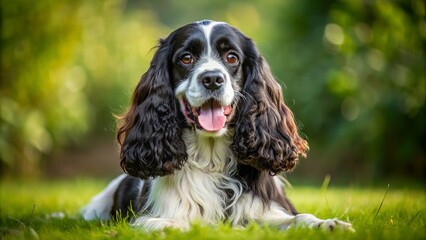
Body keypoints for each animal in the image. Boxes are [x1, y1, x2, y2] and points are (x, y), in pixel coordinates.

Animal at [80, 20, 352, 231]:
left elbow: (298, 218)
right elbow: (165, 224)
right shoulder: (150, 217)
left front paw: (327, 224)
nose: (212, 78)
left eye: (232, 57)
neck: (210, 158)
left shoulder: (263, 212)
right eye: (186, 58)